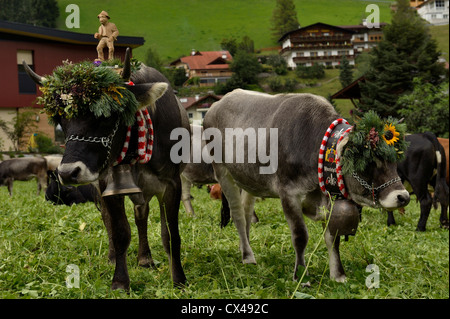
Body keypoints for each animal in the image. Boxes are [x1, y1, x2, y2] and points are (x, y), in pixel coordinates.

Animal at [24, 48, 188, 292]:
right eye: (62, 119)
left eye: (106, 116)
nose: (68, 173)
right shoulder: (109, 185)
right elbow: (119, 232)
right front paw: (120, 281)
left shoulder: (172, 183)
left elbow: (170, 233)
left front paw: (179, 279)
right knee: (111, 219)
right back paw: (115, 258)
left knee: (141, 216)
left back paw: (145, 258)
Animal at [204, 89, 412, 282]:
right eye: (369, 162)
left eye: (395, 161)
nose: (403, 197)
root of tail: (218, 103)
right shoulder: (289, 194)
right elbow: (300, 236)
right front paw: (301, 275)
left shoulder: (328, 200)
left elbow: (333, 238)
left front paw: (338, 275)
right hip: (222, 172)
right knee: (238, 214)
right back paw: (248, 257)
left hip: (249, 180)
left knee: (247, 213)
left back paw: (244, 249)